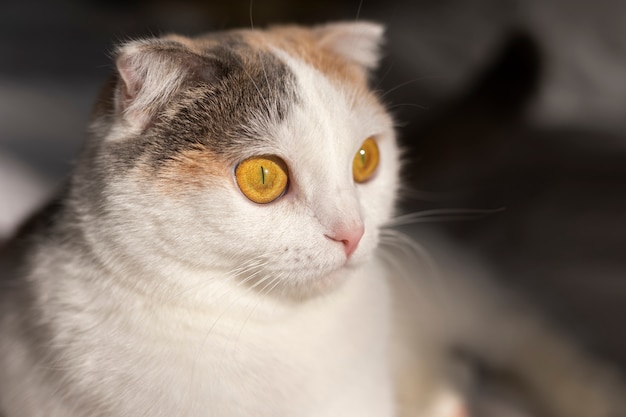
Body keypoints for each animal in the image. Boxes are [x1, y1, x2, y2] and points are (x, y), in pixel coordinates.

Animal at [1, 22, 624, 416]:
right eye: (263, 176)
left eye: (366, 159)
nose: (352, 232)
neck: (270, 332)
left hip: (460, 289)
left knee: (535, 339)